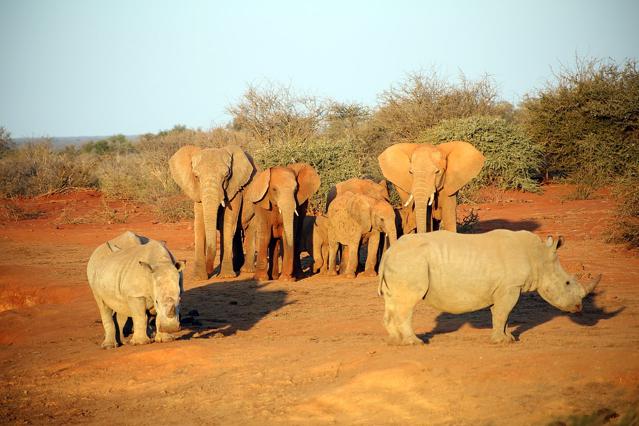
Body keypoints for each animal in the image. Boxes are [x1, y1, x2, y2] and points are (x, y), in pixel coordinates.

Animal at [171, 145, 258, 282]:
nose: (210, 271)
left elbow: (227, 224)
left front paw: (226, 276)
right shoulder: (198, 191)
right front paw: (199, 278)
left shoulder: (235, 189)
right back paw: (237, 266)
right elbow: (199, 225)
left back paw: (246, 270)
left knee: (250, 228)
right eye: (196, 176)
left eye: (226, 176)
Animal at [380, 231, 604, 344]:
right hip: (411, 262)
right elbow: (503, 313)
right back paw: (415, 342)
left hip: (402, 262)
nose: (579, 308)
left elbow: (502, 314)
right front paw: (501, 341)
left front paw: (508, 338)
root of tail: (389, 252)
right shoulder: (510, 286)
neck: (538, 256)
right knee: (407, 304)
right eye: (567, 283)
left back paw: (395, 341)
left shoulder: (504, 288)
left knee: (392, 302)